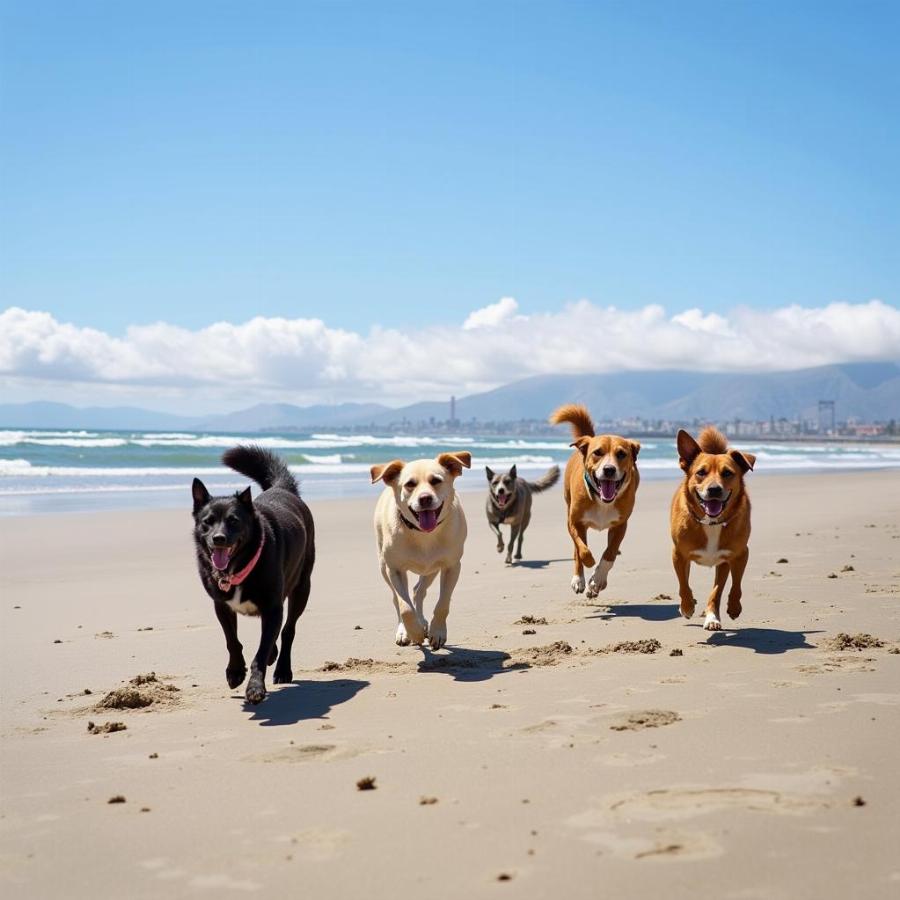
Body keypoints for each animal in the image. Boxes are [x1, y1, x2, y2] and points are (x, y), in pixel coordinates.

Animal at [192, 446, 314, 708]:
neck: (238, 567)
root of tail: (281, 488)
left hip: (302, 587)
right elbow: (232, 641)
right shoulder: (221, 605)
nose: (218, 538)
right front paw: (235, 672)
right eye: (207, 522)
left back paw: (283, 669)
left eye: (233, 521)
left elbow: (261, 651)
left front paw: (256, 688)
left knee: (288, 629)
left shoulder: (273, 607)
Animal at [370, 454, 474, 652]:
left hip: (431, 570)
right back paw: (405, 630)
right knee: (397, 598)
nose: (425, 498)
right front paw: (414, 633)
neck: (423, 534)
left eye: (436, 481)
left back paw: (423, 622)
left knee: (419, 591)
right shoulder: (394, 569)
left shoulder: (452, 566)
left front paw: (437, 632)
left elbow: (443, 603)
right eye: (410, 484)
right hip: (383, 566)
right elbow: (405, 607)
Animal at [548, 404, 640, 596]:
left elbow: (609, 554)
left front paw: (597, 580)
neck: (601, 500)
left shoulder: (620, 525)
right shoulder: (575, 522)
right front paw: (587, 566)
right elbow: (581, 550)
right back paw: (579, 579)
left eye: (621, 454)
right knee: (576, 550)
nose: (609, 469)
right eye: (597, 452)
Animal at [672, 426, 756, 628]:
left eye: (727, 473)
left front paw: (731, 608)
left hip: (724, 563)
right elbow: (683, 584)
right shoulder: (678, 554)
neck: (711, 523)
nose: (714, 489)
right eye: (701, 472)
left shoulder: (739, 555)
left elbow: (729, 587)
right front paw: (687, 606)